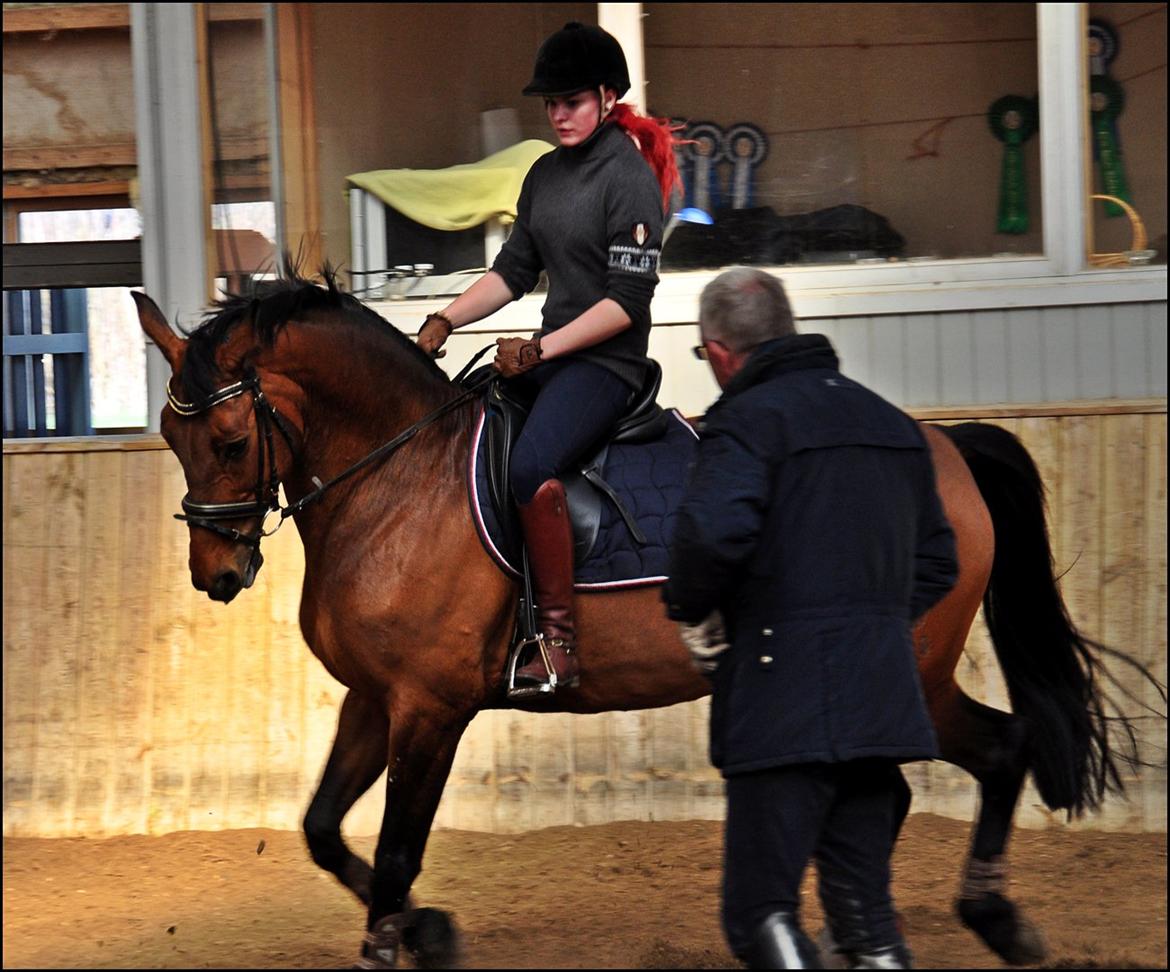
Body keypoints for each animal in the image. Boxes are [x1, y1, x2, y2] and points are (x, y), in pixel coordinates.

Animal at [134, 270, 1141, 968]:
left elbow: (393, 851)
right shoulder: (374, 699)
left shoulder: (430, 707)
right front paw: (430, 931)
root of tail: (946, 445)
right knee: (919, 782)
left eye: (229, 440)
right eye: (170, 437)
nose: (217, 574)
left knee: (998, 751)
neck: (397, 478)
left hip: (913, 675)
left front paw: (406, 936)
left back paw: (993, 919)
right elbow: (321, 829)